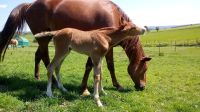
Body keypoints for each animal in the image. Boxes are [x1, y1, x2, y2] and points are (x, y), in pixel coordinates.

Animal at [0, 0, 150, 93]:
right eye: (144, 69)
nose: (142, 87)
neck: (115, 17)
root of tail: (29, 5)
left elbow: (92, 66)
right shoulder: (105, 48)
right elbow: (108, 66)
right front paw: (116, 85)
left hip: (45, 38)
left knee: (39, 55)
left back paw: (37, 76)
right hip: (44, 40)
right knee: (47, 59)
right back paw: (54, 82)